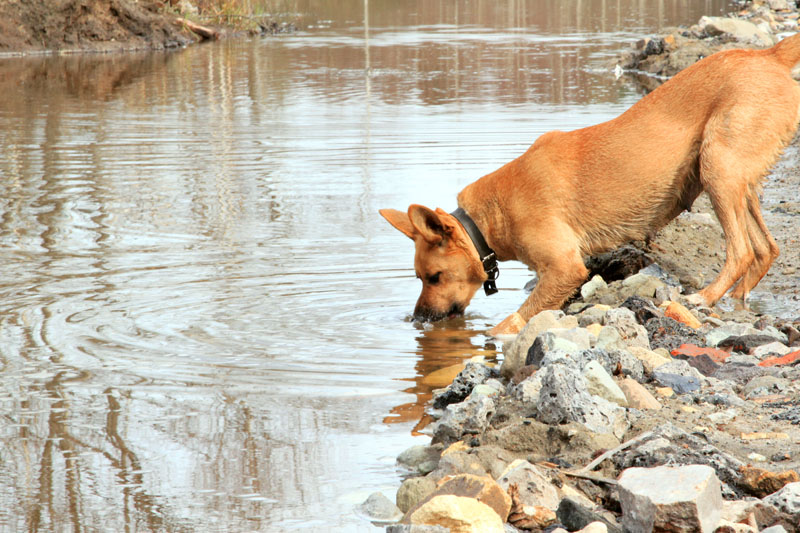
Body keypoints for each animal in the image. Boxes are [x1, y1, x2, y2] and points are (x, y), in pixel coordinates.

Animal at [378, 32, 800, 332]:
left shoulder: (565, 268)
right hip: (739, 181)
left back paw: (705, 298)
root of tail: (768, 54)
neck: (490, 216)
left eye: (434, 277)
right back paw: (738, 300)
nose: (418, 319)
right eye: (420, 278)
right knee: (767, 248)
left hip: (718, 169)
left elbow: (516, 319)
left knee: (741, 251)